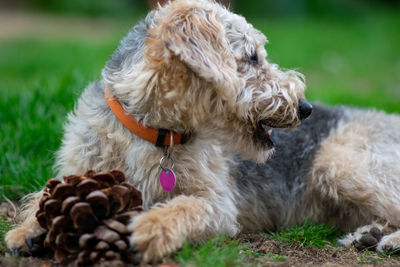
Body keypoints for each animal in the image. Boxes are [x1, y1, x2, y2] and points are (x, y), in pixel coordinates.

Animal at [4, 0, 400, 264]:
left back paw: (386, 240)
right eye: (252, 56)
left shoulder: (219, 205)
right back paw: (368, 234)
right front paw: (28, 231)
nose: (305, 108)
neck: (153, 133)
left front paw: (149, 228)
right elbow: (41, 197)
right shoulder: (78, 170)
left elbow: (184, 207)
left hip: (340, 165)